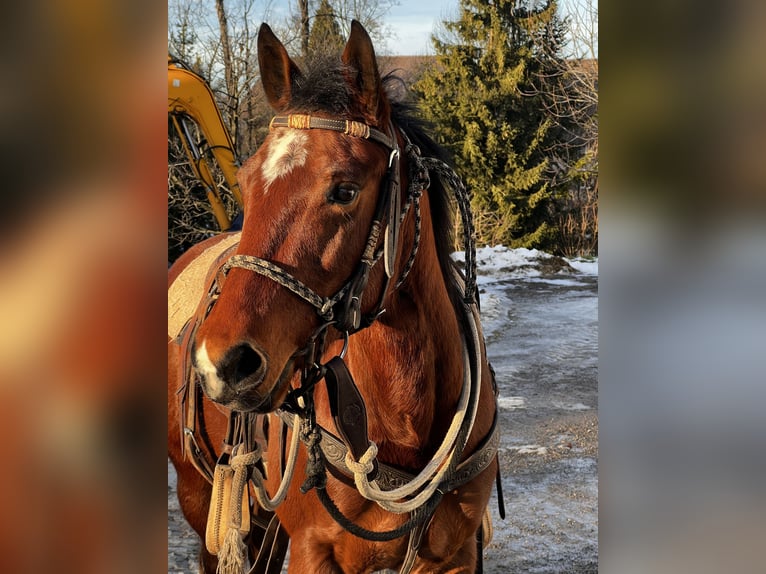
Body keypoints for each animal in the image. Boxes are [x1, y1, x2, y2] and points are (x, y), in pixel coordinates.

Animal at [168, 21, 501, 574]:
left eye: (344, 190)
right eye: (246, 182)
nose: (222, 362)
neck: (406, 422)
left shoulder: (456, 554)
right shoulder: (312, 551)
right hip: (201, 499)